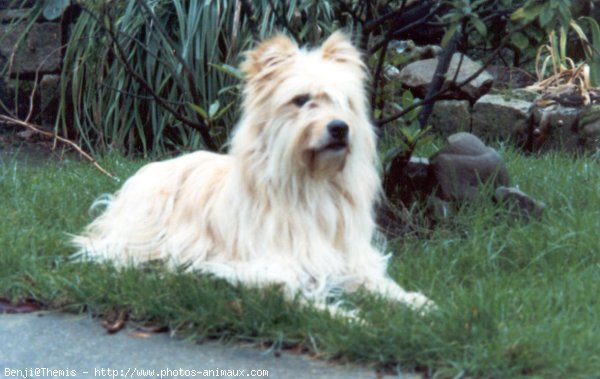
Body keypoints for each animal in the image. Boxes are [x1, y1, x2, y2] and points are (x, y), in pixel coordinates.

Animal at [72, 30, 434, 314]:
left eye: (343, 102)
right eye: (301, 100)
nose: (339, 128)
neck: (311, 183)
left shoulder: (351, 261)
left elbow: (380, 284)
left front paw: (417, 303)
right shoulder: (270, 268)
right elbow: (301, 296)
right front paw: (346, 318)